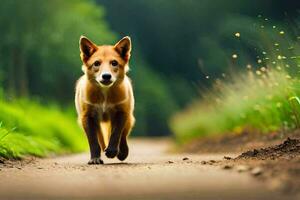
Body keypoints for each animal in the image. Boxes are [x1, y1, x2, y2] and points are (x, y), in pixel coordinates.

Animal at [75, 36, 135, 164]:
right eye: (96, 63)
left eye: (114, 63)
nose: (106, 76)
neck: (104, 97)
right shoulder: (87, 116)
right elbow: (93, 141)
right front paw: (95, 158)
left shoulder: (121, 112)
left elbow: (116, 134)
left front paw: (112, 151)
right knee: (101, 139)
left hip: (128, 117)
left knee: (123, 136)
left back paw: (122, 152)